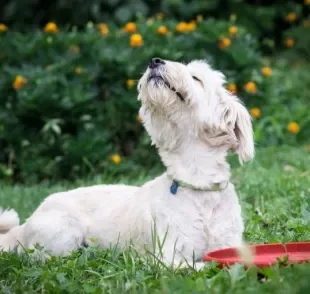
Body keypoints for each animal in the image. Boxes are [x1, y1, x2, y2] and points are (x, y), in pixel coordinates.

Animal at [0, 58, 253, 268]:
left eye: (196, 78)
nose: (154, 61)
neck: (198, 185)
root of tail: (24, 225)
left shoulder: (228, 243)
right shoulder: (167, 257)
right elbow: (201, 265)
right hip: (63, 235)